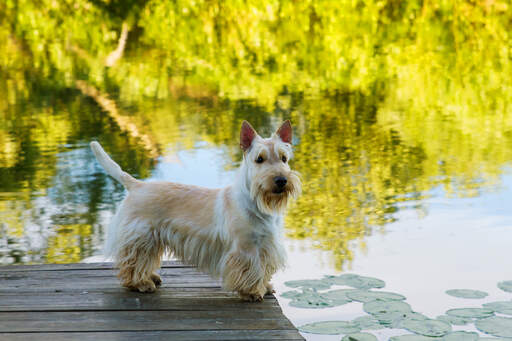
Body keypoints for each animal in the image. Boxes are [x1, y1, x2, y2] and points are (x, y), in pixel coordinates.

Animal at [90, 120, 302, 300]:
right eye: (259, 159)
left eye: (284, 158)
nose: (281, 180)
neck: (258, 204)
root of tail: (137, 185)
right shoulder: (245, 248)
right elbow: (251, 270)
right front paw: (251, 292)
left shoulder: (266, 246)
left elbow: (264, 269)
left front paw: (265, 286)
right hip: (141, 236)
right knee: (133, 261)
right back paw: (141, 283)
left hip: (149, 239)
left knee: (144, 260)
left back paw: (152, 277)